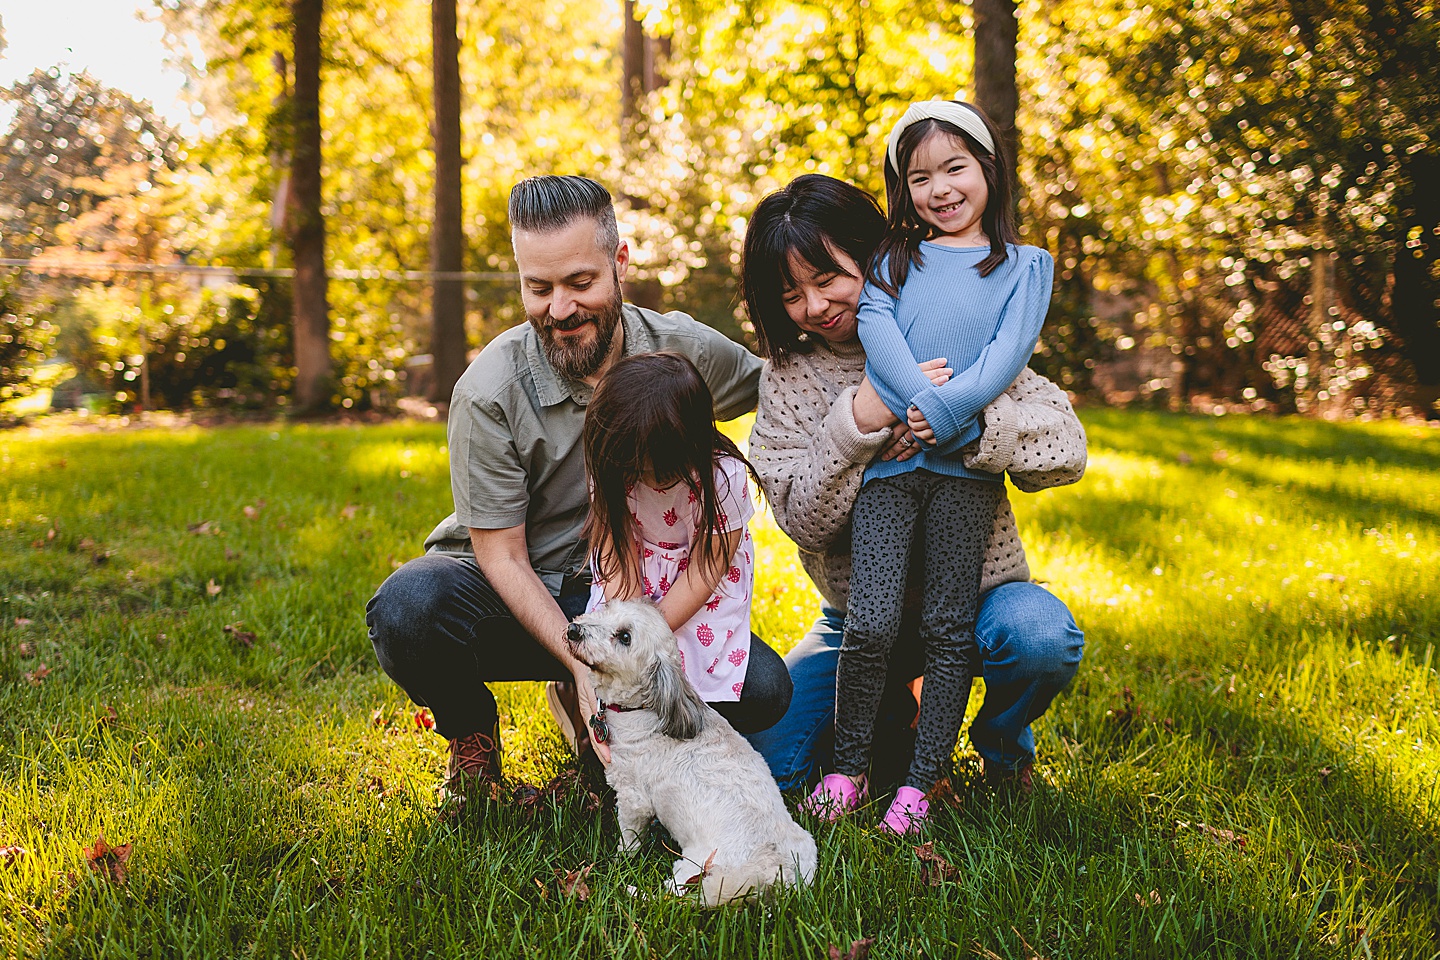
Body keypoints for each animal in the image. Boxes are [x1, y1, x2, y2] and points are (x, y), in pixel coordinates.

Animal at [564, 601, 817, 909]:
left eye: (625, 637)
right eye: (607, 608)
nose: (573, 629)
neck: (645, 709)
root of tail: (774, 873)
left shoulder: (634, 799)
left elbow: (630, 838)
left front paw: (620, 858)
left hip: (691, 871)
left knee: (671, 900)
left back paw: (634, 892)